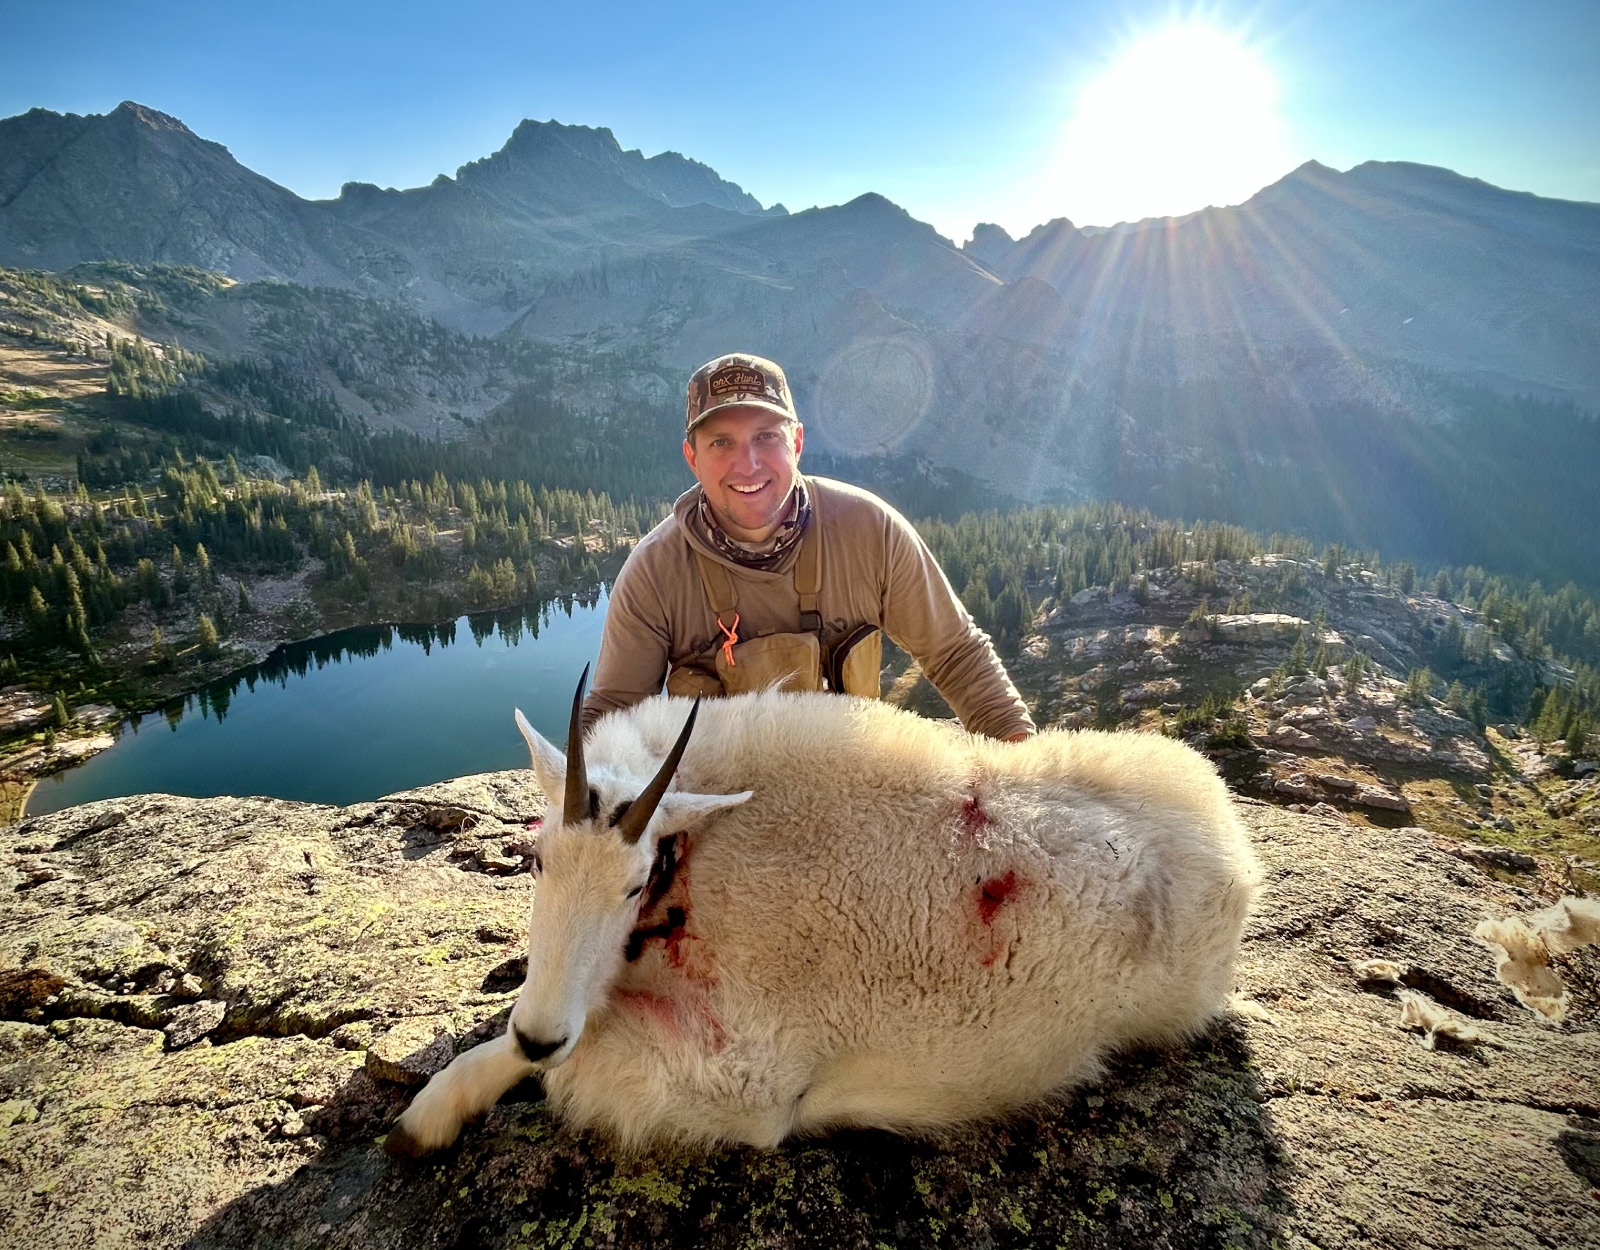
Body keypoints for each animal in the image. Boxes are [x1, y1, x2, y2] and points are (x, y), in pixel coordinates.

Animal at [387, 674, 1259, 1154]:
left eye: (635, 885)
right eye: (537, 861)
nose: (542, 1028)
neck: (697, 866)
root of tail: (1236, 847)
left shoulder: (746, 1078)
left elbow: (566, 1064)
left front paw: (422, 1120)